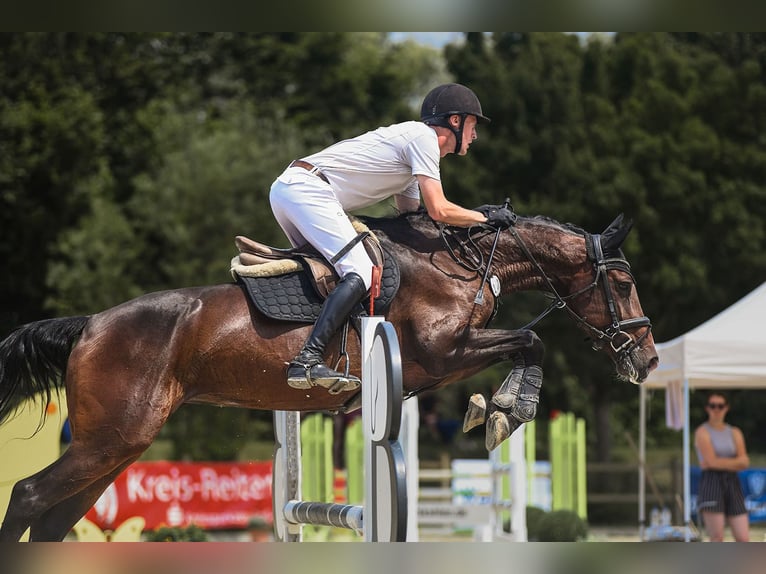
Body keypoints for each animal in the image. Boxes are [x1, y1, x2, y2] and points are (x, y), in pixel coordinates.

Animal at [0, 209, 660, 544]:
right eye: (624, 282)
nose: (648, 360)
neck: (464, 267)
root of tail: (90, 325)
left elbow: (527, 342)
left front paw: (495, 410)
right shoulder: (442, 354)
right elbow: (532, 340)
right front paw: (505, 409)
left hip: (119, 446)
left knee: (53, 519)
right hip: (112, 439)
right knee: (29, 496)